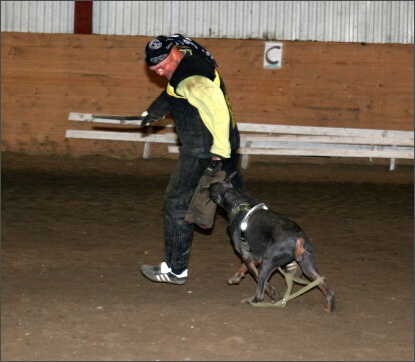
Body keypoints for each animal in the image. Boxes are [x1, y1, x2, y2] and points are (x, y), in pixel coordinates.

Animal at [207, 173, 334, 312]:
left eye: (211, 188)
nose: (206, 187)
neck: (238, 206)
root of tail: (299, 238)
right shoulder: (256, 257)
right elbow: (242, 267)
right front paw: (235, 277)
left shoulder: (247, 256)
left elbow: (256, 276)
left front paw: (273, 294)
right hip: (307, 266)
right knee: (327, 290)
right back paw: (329, 307)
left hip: (267, 263)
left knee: (260, 293)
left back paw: (251, 301)